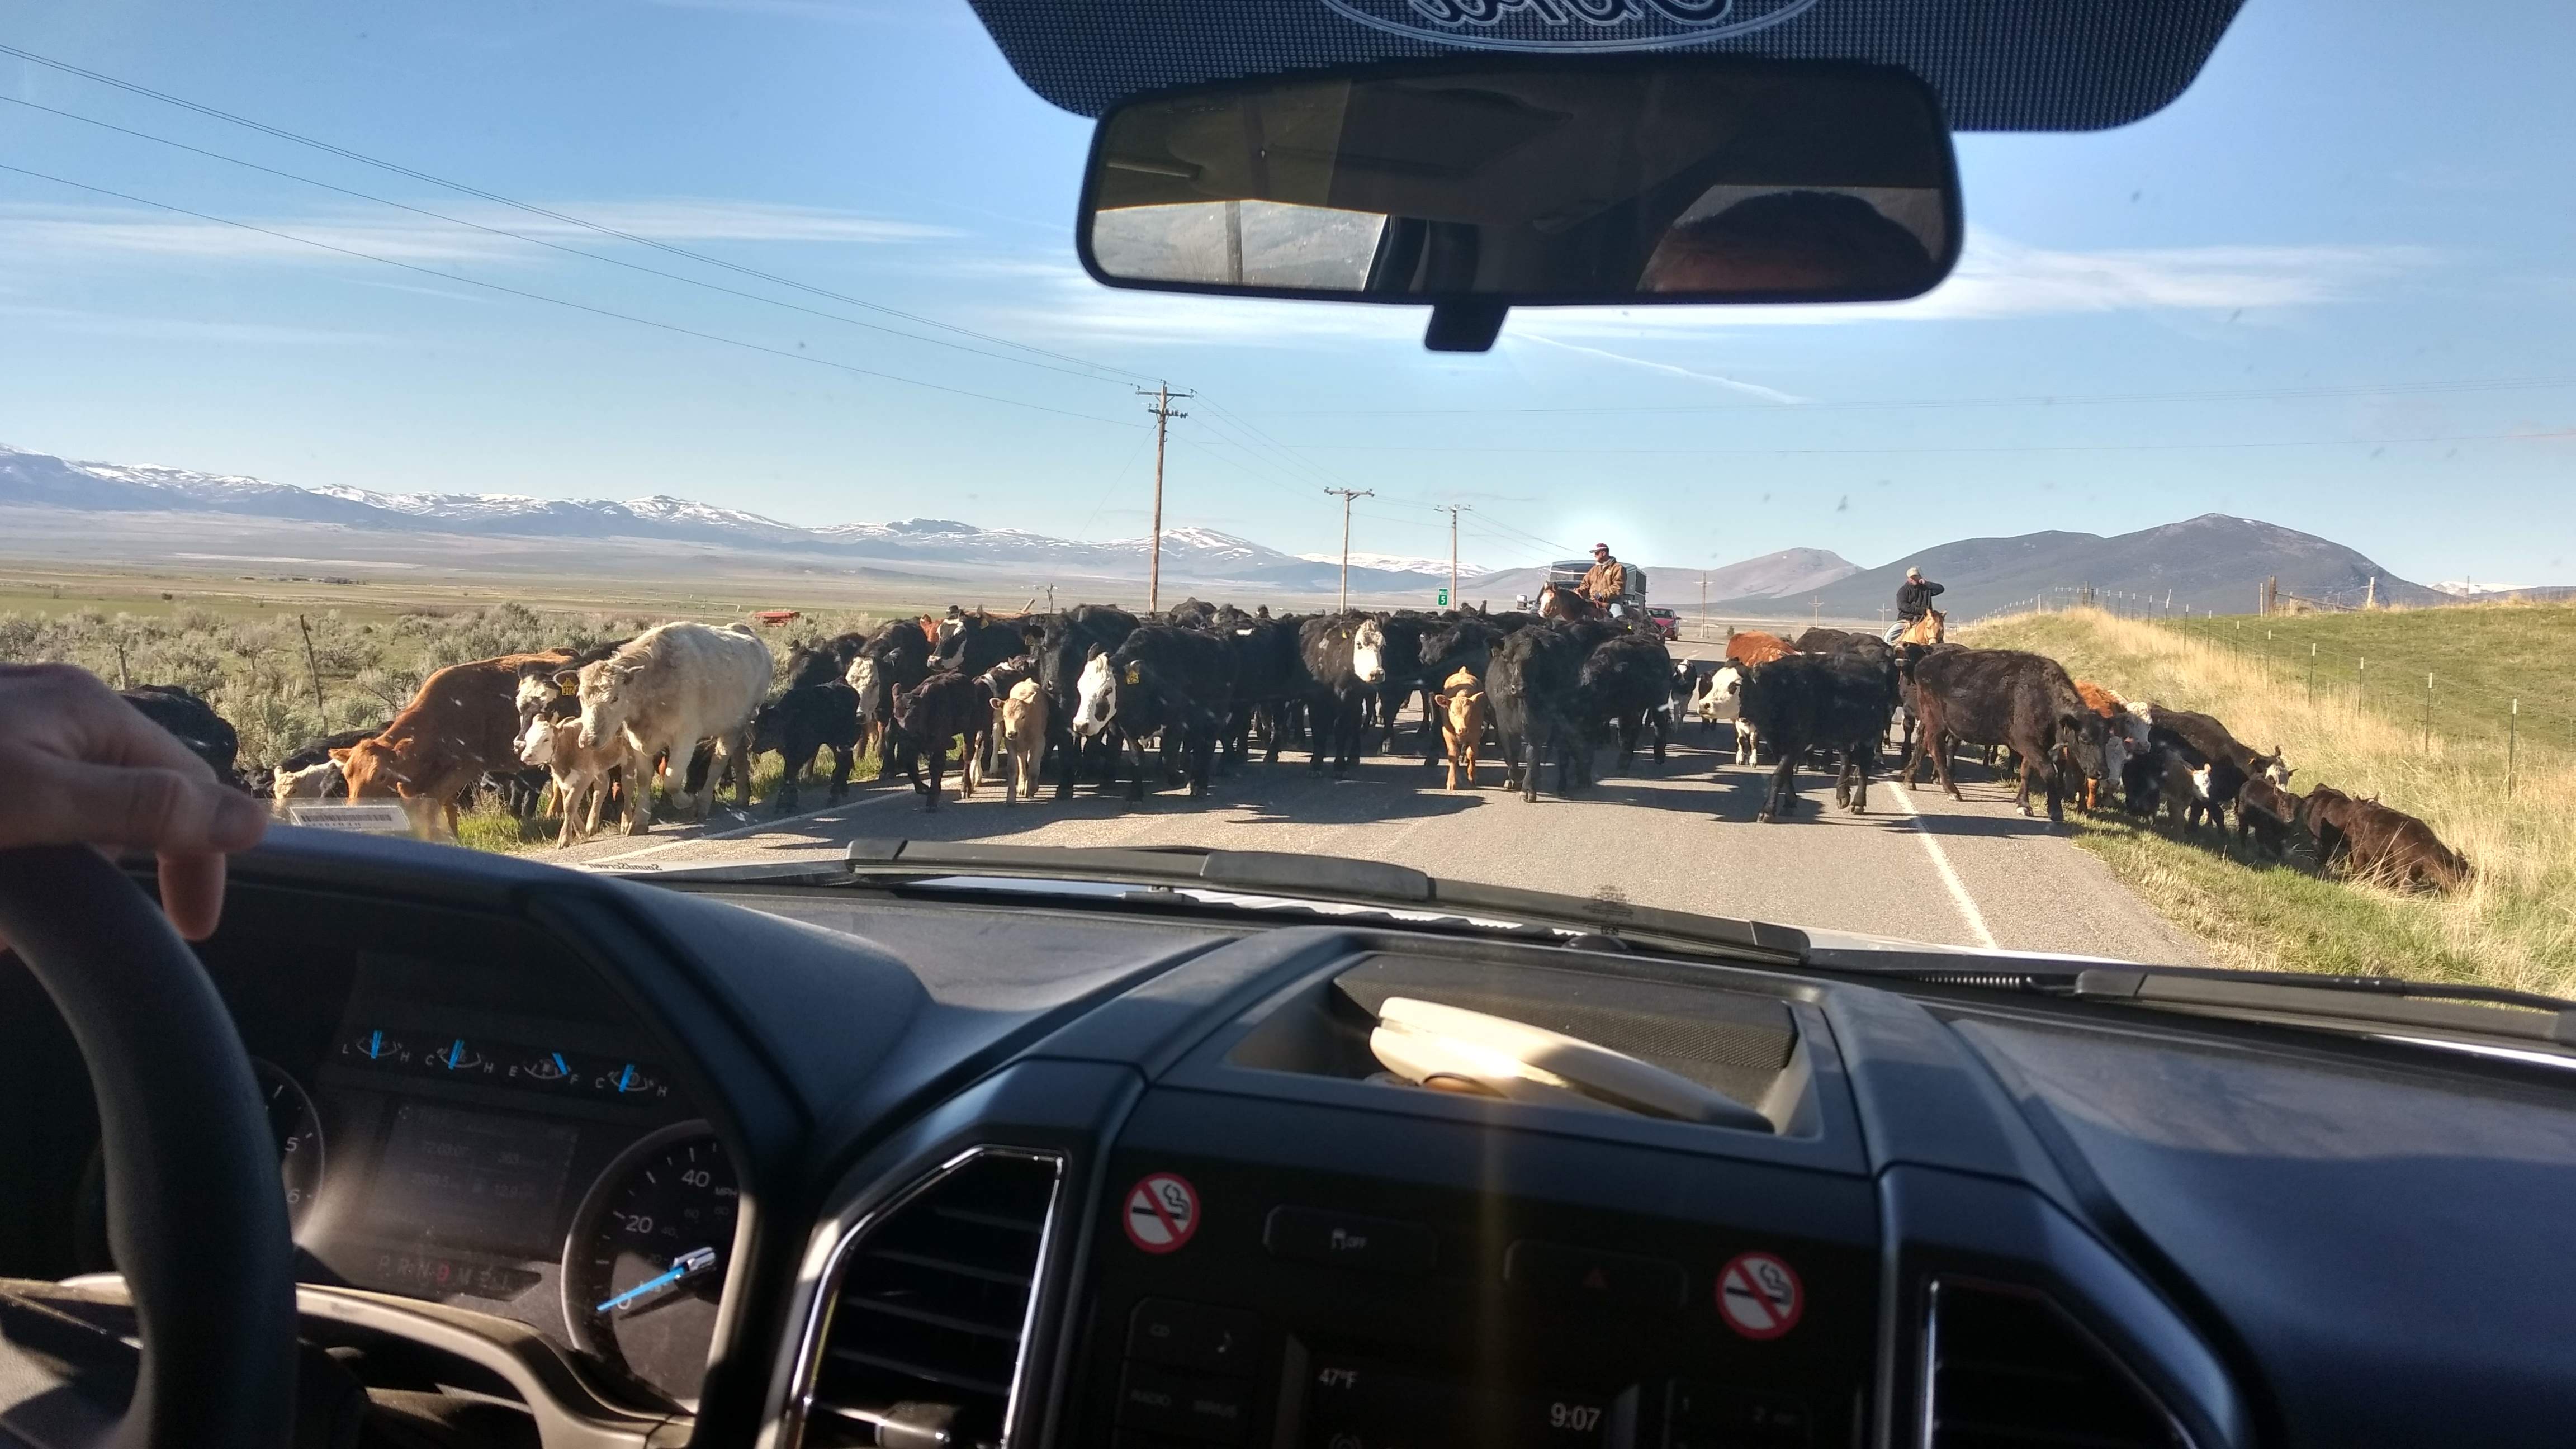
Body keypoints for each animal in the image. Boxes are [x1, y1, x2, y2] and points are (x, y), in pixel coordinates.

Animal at [582, 621, 773, 835]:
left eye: (614, 698)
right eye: (581, 697)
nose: (588, 739)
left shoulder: (685, 739)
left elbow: (672, 780)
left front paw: (687, 801)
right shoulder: (638, 741)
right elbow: (644, 779)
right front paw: (640, 821)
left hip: (736, 726)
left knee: (718, 762)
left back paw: (703, 804)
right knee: (739, 757)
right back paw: (741, 798)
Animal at [1432, 665, 1494, 789]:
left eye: (1469, 713)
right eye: (1453, 712)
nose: (1463, 730)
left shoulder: (1475, 734)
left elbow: (1472, 754)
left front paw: (1472, 776)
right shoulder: (1448, 734)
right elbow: (1452, 755)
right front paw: (1452, 781)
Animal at [1741, 650, 1906, 820]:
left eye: (1742, 688)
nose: (1742, 718)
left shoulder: (1796, 744)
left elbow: (1779, 774)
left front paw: (1767, 811)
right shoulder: (1777, 744)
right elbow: (1787, 774)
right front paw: (1790, 803)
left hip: (1868, 737)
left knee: (1864, 768)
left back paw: (1858, 804)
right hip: (1843, 736)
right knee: (1846, 759)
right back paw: (1842, 796)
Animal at [1906, 645, 2102, 825]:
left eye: (2106, 738)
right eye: (2084, 738)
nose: (2101, 772)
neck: (2044, 697)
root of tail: (1925, 663)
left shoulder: (2036, 746)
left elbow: (2026, 772)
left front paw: (2023, 805)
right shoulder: (2028, 744)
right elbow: (2048, 771)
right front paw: (2055, 811)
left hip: (1931, 723)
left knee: (1923, 745)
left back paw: (1910, 779)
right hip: (1937, 723)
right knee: (1936, 750)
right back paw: (1952, 791)